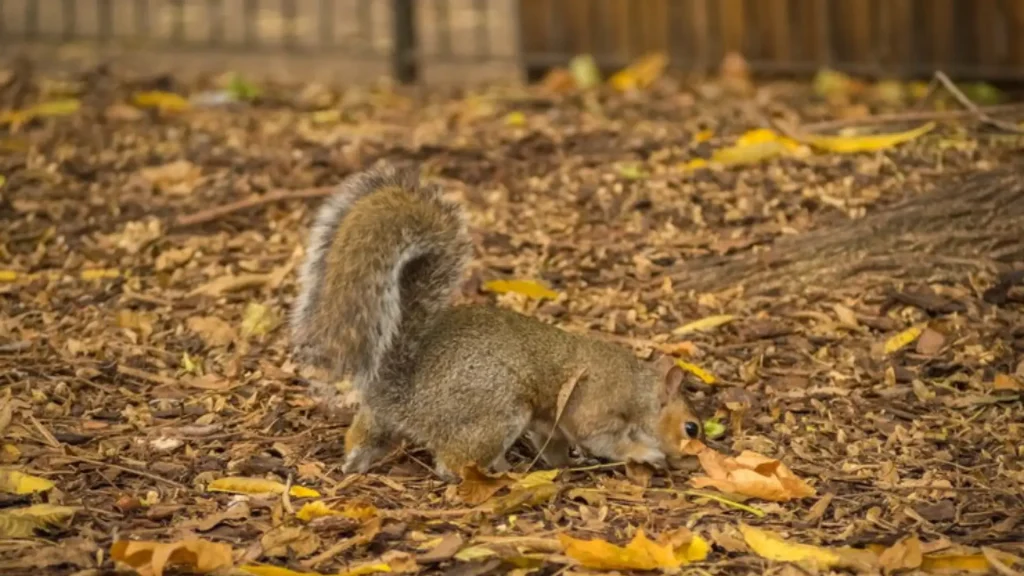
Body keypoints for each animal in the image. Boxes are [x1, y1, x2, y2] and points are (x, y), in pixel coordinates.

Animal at [290, 162, 704, 481]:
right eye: (691, 427)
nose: (694, 459)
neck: (639, 388)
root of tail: (401, 391)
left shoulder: (549, 423)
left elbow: (553, 442)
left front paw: (563, 463)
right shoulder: (597, 407)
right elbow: (605, 439)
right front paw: (645, 454)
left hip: (382, 420)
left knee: (365, 436)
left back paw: (353, 462)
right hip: (497, 411)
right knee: (452, 465)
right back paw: (502, 473)